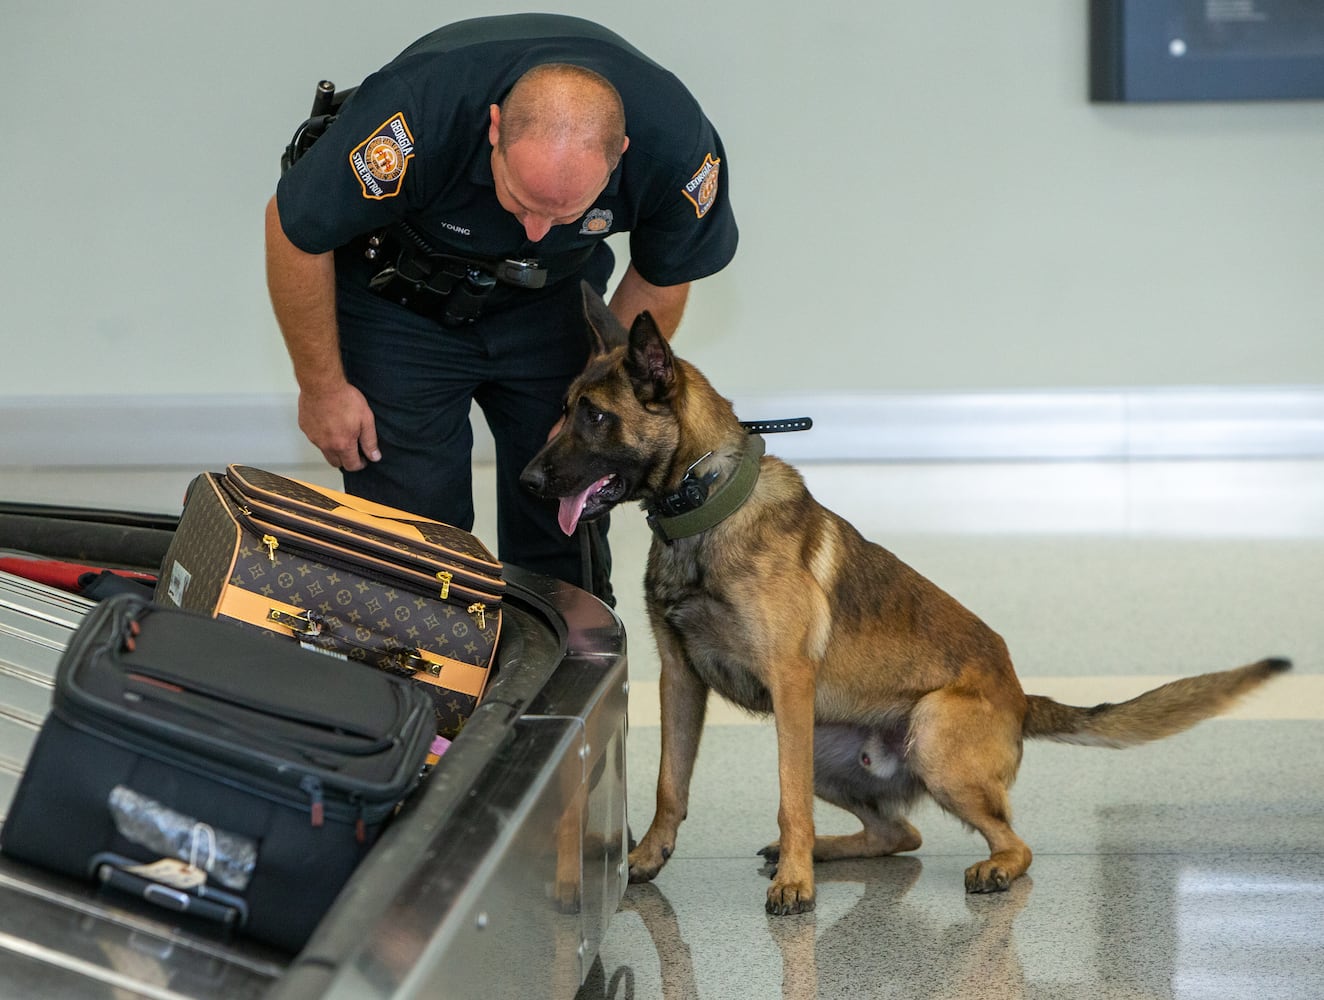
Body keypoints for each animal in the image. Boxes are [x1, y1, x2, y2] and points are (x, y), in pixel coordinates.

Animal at [519, 282, 1292, 916]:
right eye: (562, 410)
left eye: (593, 417)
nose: (526, 481)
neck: (707, 509)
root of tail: (1021, 697)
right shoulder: (681, 679)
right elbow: (670, 784)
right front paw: (645, 859)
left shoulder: (788, 683)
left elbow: (785, 800)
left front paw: (794, 884)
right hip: (830, 747)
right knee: (900, 832)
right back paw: (829, 851)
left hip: (928, 733)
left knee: (1010, 841)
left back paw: (971, 868)